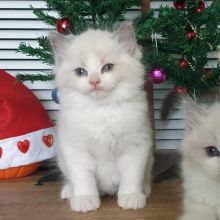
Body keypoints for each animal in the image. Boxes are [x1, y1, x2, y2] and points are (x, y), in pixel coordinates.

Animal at [49, 22, 154, 213]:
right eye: (80, 71)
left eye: (108, 67)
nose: (94, 81)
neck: (101, 110)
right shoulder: (76, 149)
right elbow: (82, 178)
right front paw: (84, 200)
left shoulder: (135, 146)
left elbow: (131, 176)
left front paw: (131, 197)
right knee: (70, 179)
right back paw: (69, 191)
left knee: (145, 177)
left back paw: (145, 189)